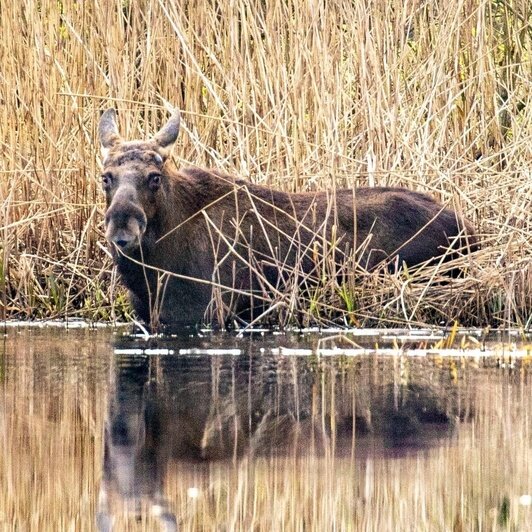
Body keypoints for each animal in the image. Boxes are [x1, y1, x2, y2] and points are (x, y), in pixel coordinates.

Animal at [100, 107, 478, 328]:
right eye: (106, 177)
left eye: (154, 177)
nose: (122, 229)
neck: (150, 273)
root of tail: (469, 230)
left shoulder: (208, 313)